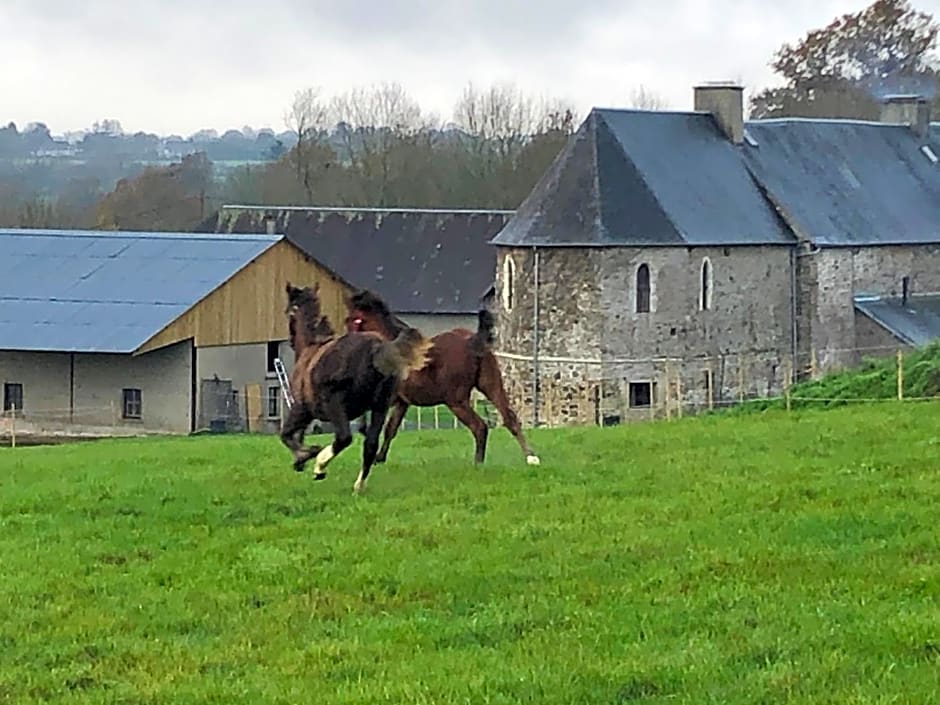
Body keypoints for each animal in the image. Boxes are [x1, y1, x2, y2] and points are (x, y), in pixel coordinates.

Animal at [280, 282, 434, 496]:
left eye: (288, 312)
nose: (290, 339)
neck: (310, 349)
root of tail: (376, 348)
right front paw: (301, 460)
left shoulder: (302, 409)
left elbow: (286, 435)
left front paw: (306, 455)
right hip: (380, 406)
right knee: (370, 444)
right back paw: (358, 485)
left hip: (336, 405)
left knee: (344, 438)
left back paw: (320, 466)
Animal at [346, 288, 540, 470]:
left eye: (353, 320)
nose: (346, 342)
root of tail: (472, 341)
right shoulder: (402, 402)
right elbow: (391, 429)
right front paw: (379, 458)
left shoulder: (388, 398)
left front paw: (366, 438)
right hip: (491, 385)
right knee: (510, 418)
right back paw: (531, 457)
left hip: (456, 401)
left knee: (480, 427)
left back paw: (478, 464)